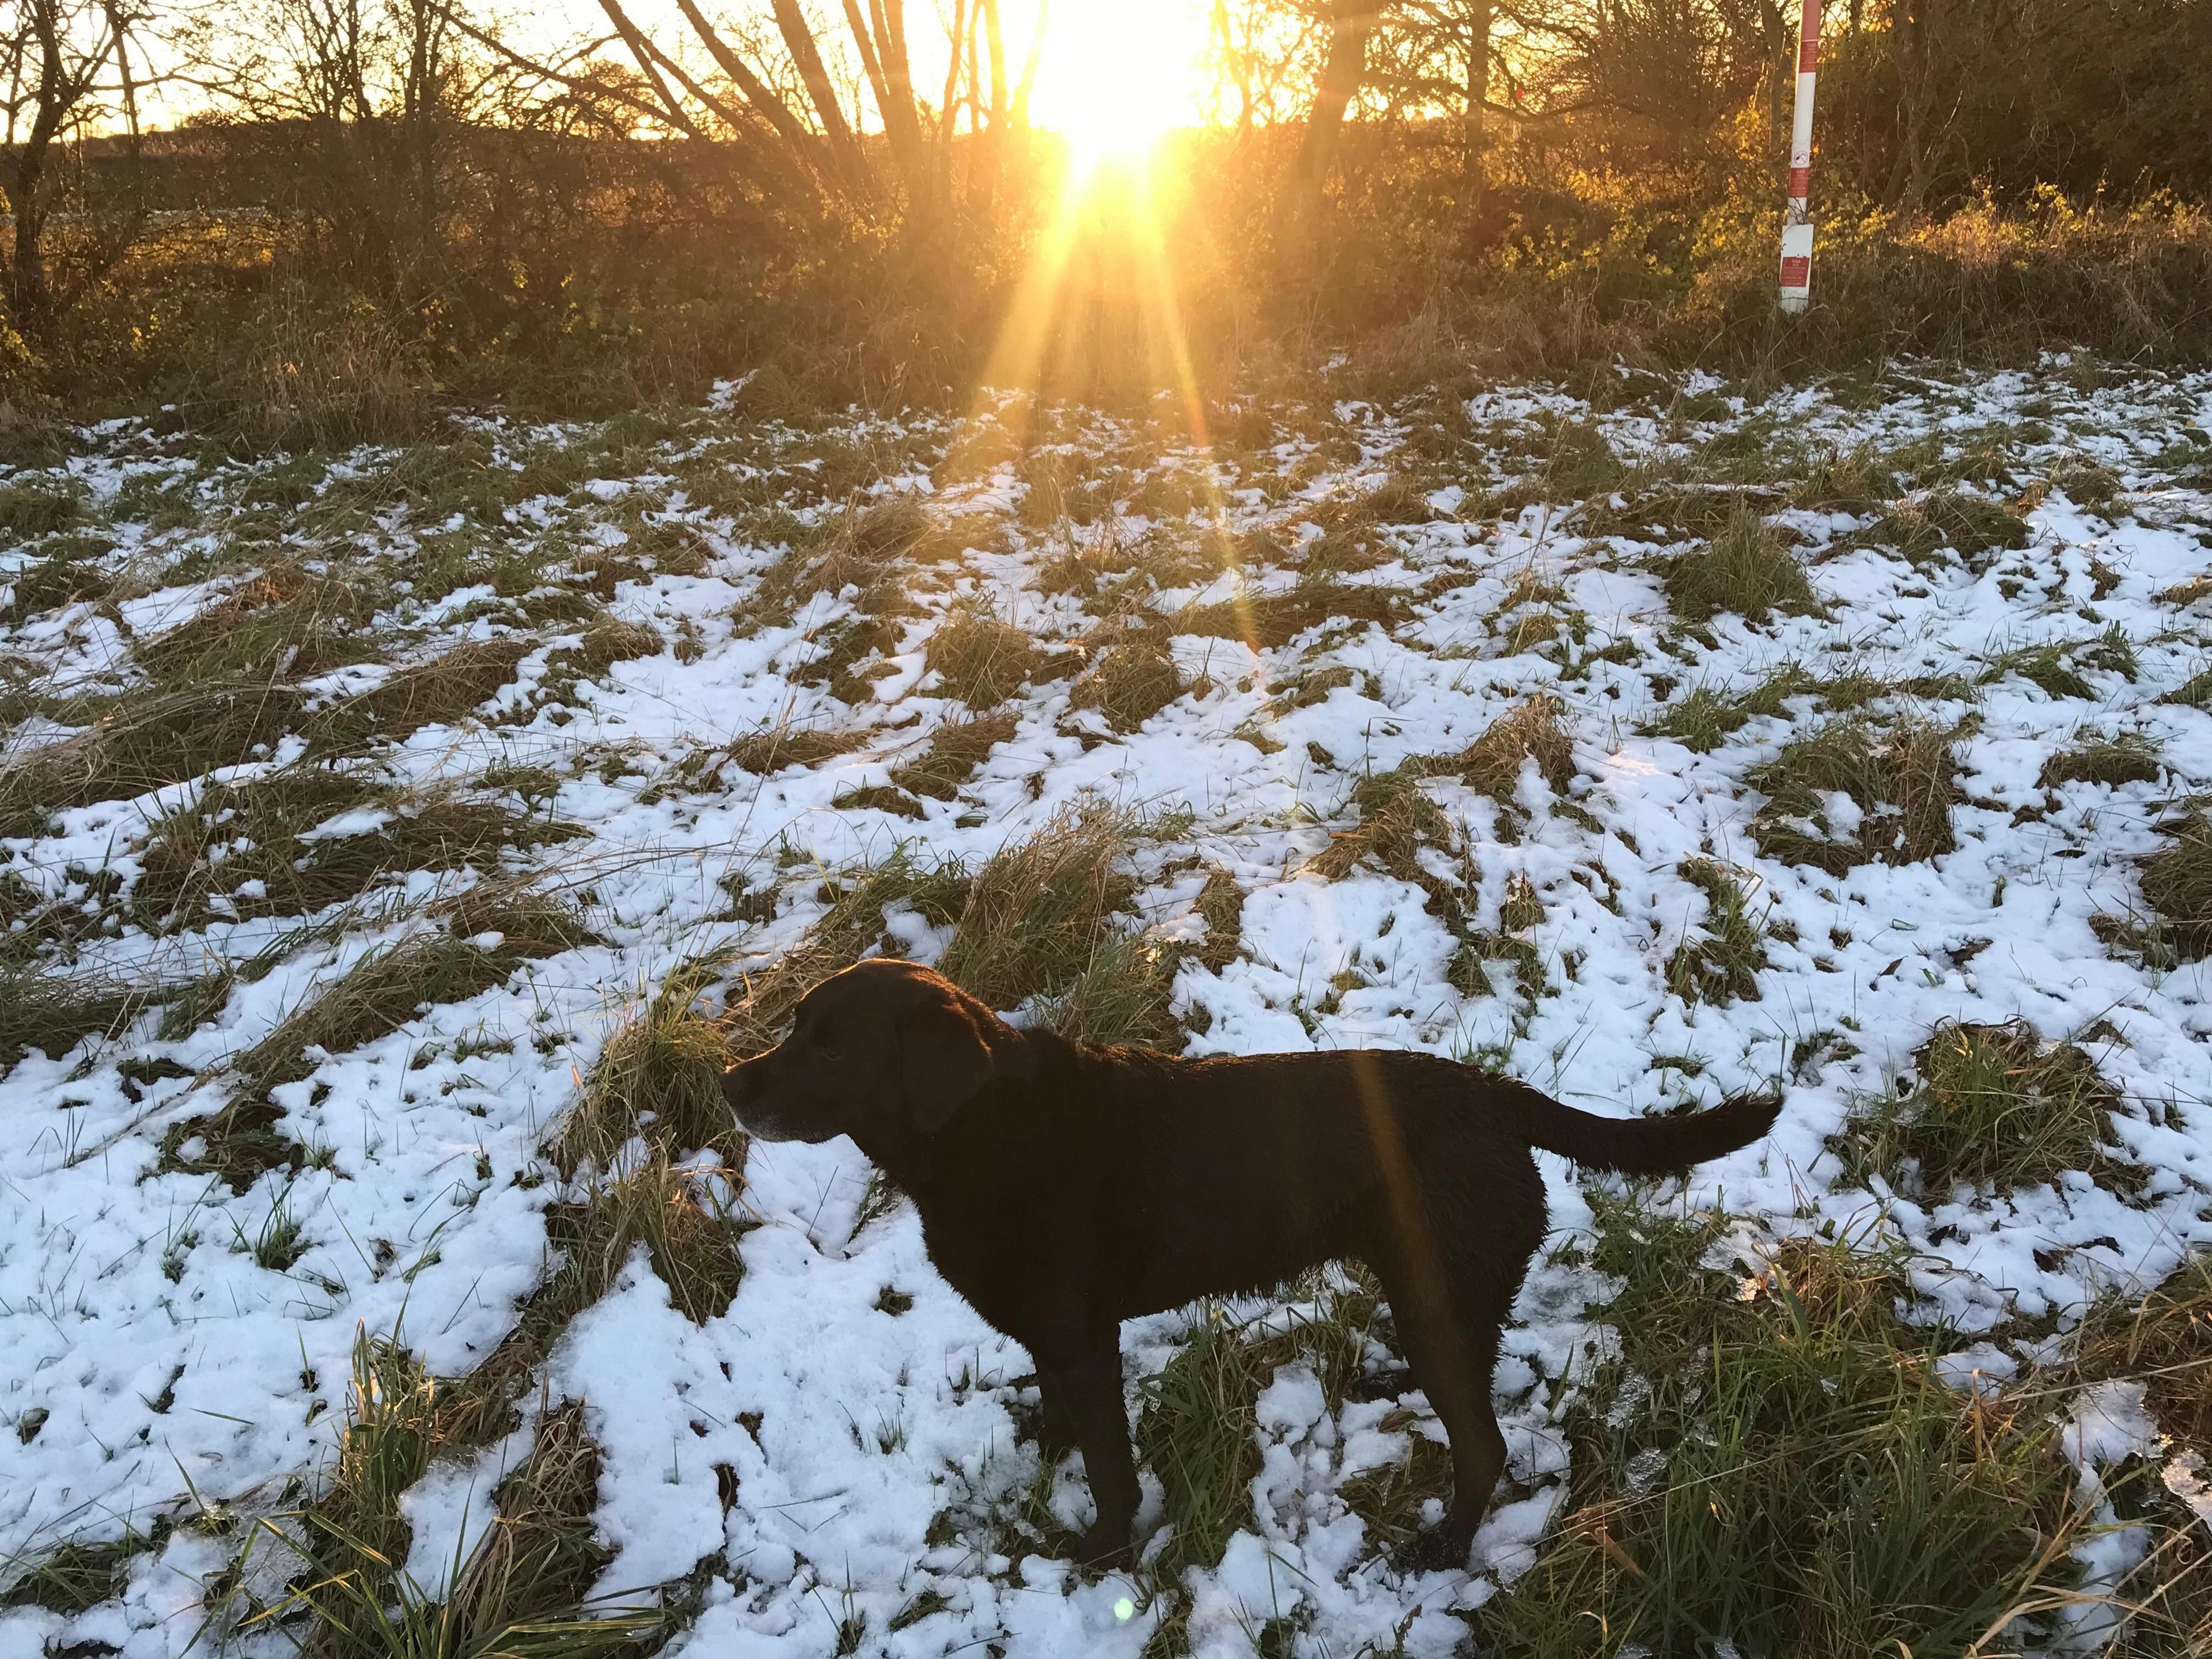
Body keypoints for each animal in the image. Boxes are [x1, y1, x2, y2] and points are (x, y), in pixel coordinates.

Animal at [725, 960, 1778, 1575]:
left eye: (832, 1045)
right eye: (796, 1023)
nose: (730, 1082)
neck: (981, 1132)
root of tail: (1496, 1095)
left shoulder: (1085, 1340)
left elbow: (1112, 1468)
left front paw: (1101, 1553)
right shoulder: (1055, 1337)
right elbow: (1061, 1415)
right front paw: (1044, 1452)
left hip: (1435, 1296)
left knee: (1483, 1445)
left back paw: (1440, 1549)